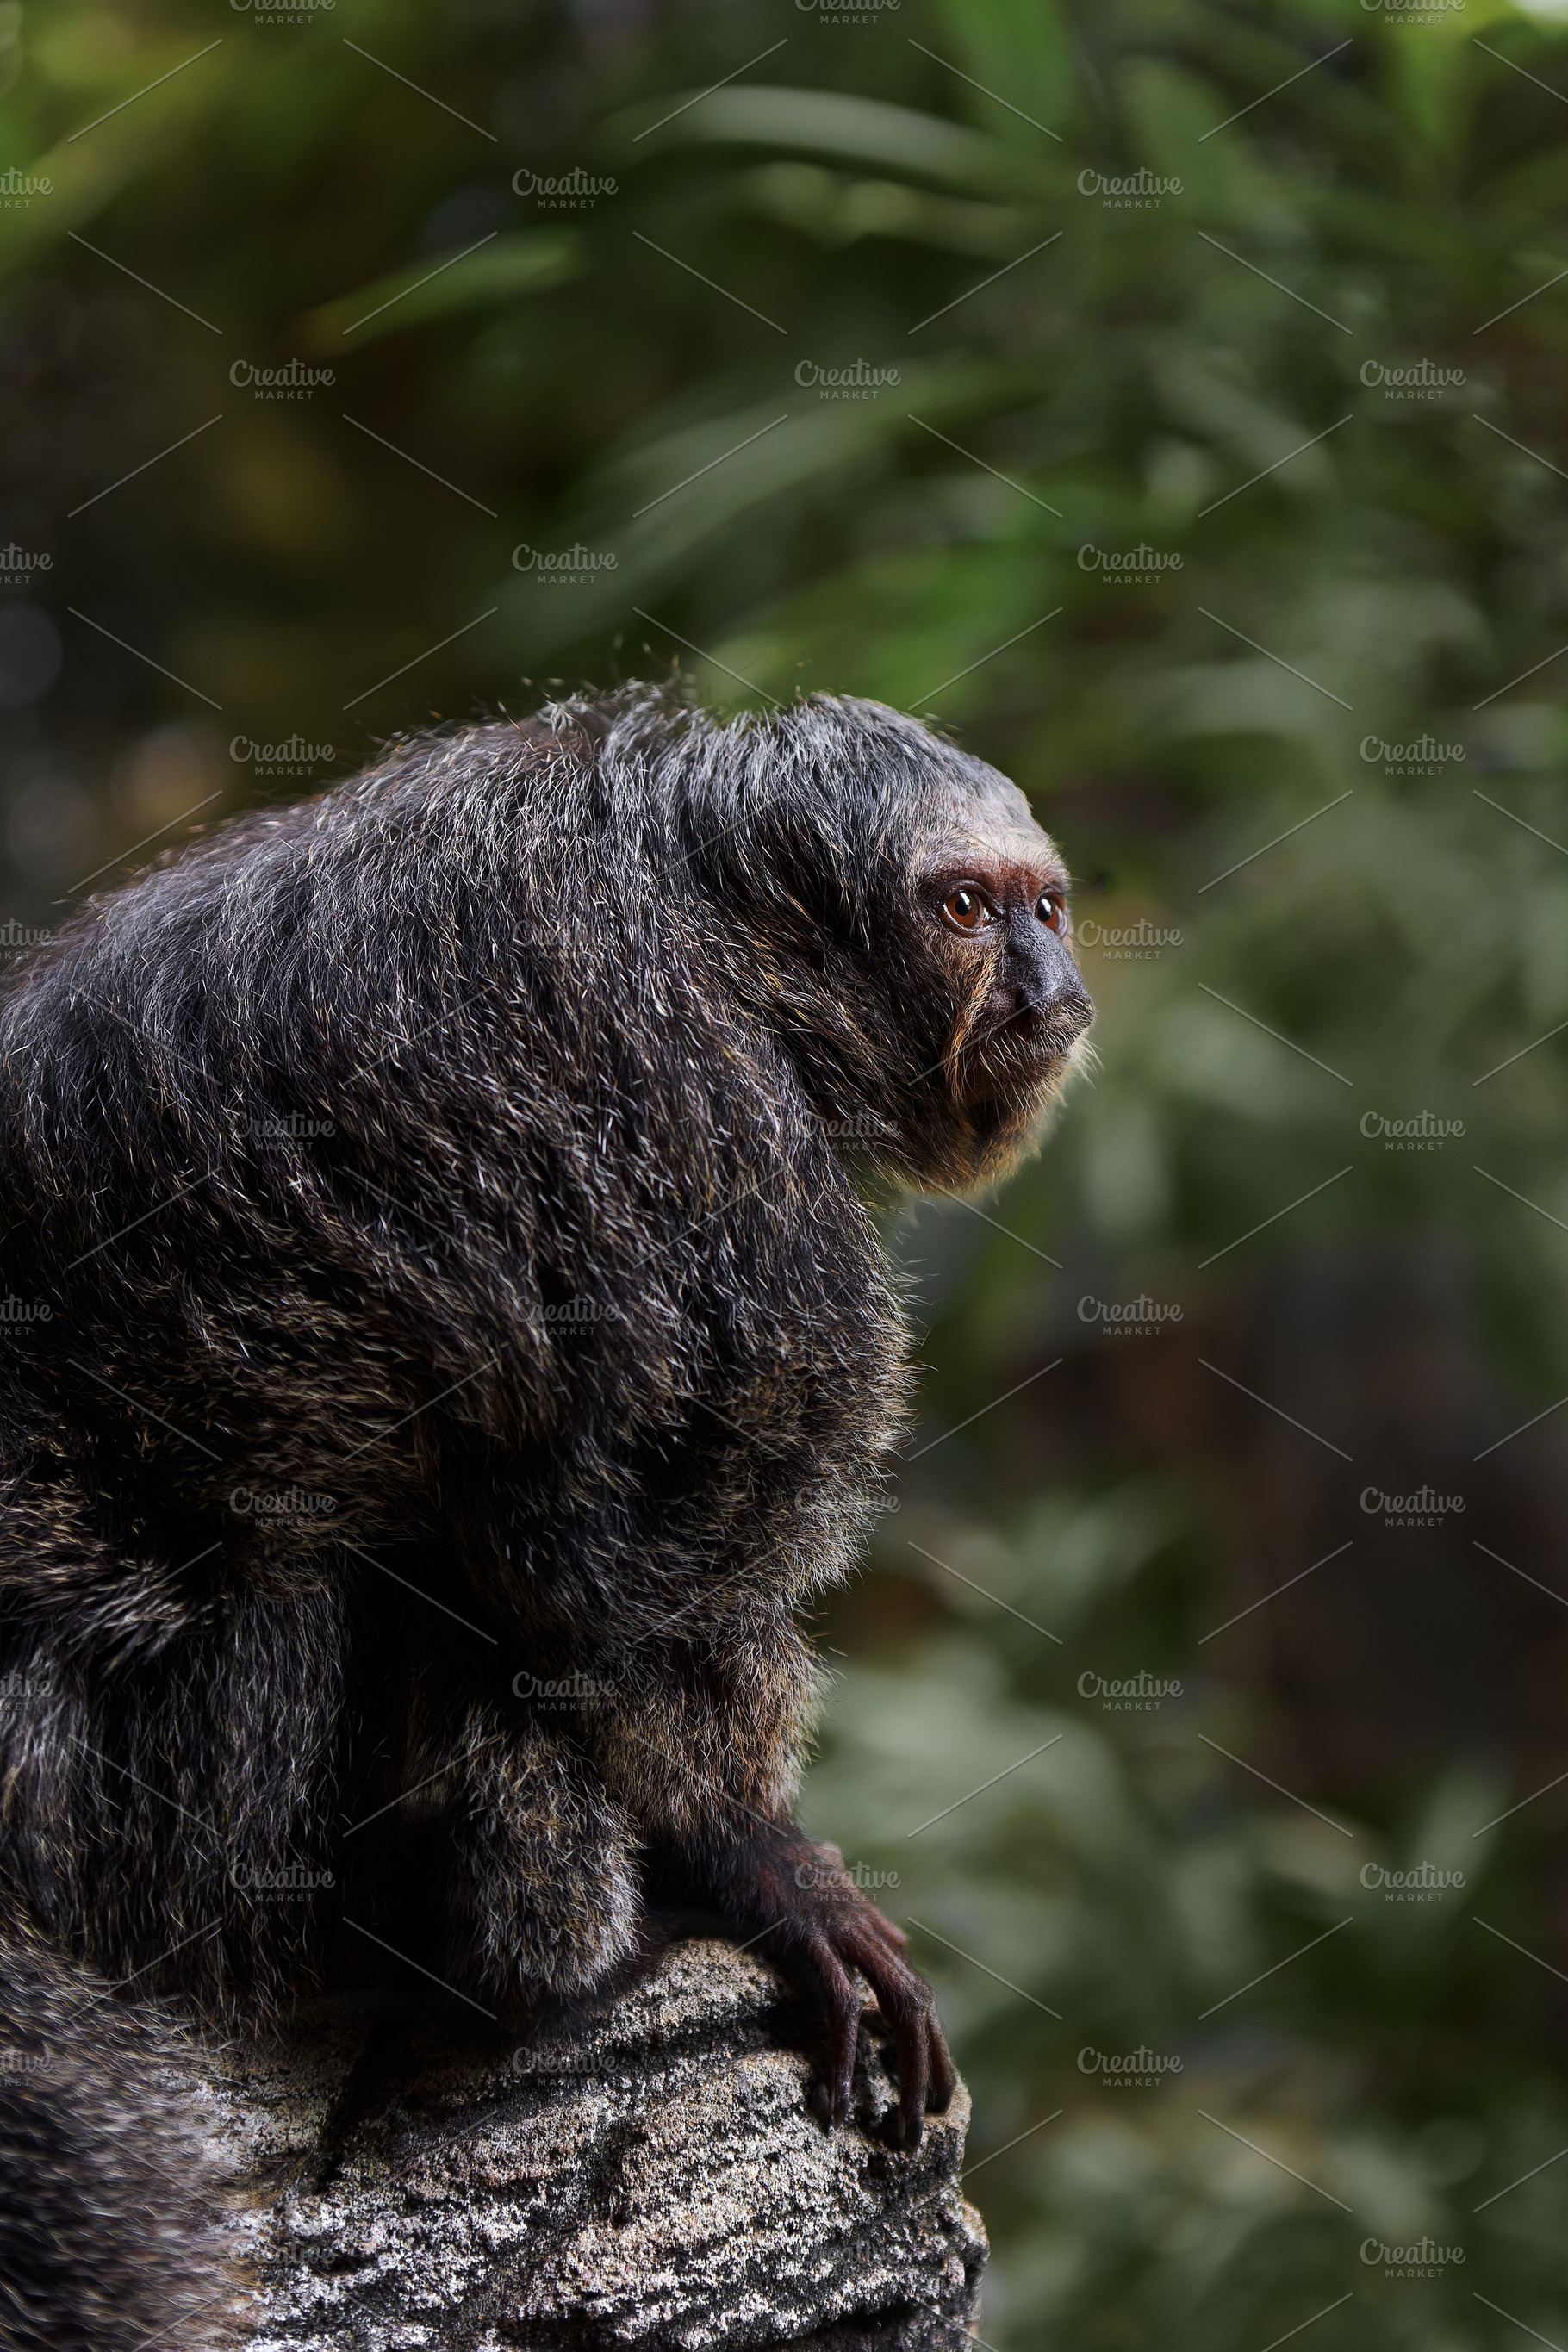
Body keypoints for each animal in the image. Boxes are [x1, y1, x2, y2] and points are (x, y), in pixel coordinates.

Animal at [0, 684, 1091, 2349]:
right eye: (966, 909)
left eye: (1044, 904)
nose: (1051, 980)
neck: (709, 908)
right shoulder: (699, 1103)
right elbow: (587, 1564)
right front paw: (754, 1861)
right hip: (143, 1789)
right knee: (335, 1565)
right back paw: (543, 1974)